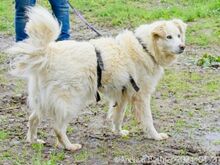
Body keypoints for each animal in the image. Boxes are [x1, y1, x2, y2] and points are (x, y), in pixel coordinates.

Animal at [8, 6, 187, 151]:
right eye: (169, 37)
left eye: (179, 35)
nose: (182, 47)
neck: (145, 47)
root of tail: (47, 53)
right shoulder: (141, 95)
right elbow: (148, 120)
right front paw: (156, 136)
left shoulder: (122, 94)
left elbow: (118, 116)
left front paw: (118, 132)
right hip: (71, 101)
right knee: (58, 128)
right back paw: (70, 146)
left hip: (43, 100)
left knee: (32, 119)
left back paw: (34, 141)